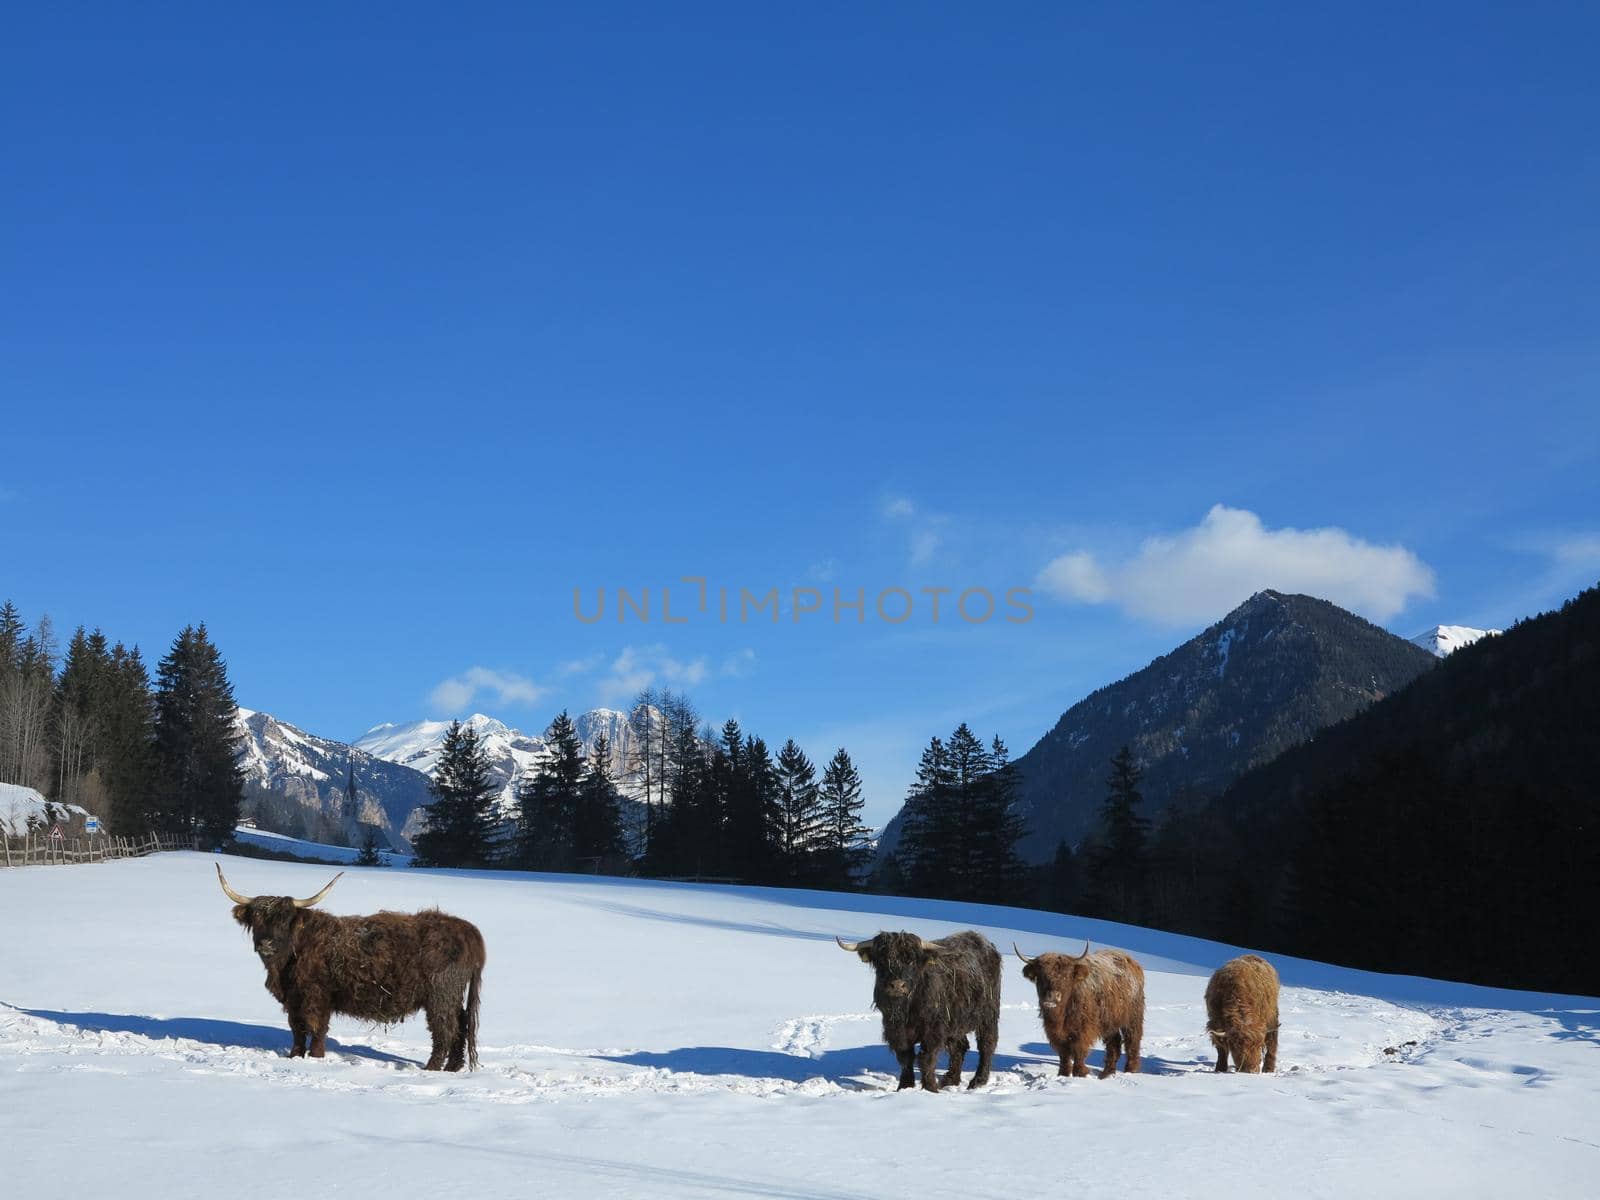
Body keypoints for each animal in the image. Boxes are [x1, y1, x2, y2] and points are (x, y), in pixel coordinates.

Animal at [216, 870, 483, 1075]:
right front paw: (295, 1057)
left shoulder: (317, 996)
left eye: (285, 920)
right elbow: (297, 1029)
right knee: (461, 1025)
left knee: (445, 1029)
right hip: (452, 996)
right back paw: (453, 1068)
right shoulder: (294, 999)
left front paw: (315, 1058)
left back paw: (432, 1068)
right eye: (256, 918)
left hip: (440, 995)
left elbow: (317, 1028)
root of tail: (466, 929)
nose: (266, 944)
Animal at [838, 934, 998, 1094]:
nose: (897, 985)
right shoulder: (896, 1032)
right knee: (959, 1047)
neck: (906, 1010)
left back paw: (978, 1081)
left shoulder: (933, 1032)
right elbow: (905, 1058)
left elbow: (926, 1058)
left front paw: (930, 1089)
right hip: (956, 1024)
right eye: (882, 960)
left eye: (911, 961)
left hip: (988, 1016)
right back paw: (950, 1081)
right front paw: (904, 1086)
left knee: (986, 1045)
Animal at [1017, 940, 1145, 1081]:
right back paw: (1106, 1074)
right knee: (1114, 1044)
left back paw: (1131, 1070)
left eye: (1066, 976)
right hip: (1110, 1021)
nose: (1052, 996)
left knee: (1132, 1040)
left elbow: (1079, 1050)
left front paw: (1080, 1074)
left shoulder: (1083, 1029)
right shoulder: (1054, 1032)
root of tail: (1131, 961)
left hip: (1133, 1016)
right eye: (1041, 976)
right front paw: (1063, 1074)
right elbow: (1063, 1053)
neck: (1061, 1014)